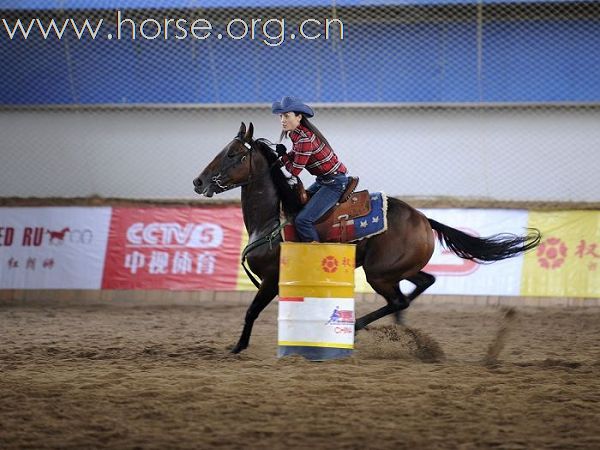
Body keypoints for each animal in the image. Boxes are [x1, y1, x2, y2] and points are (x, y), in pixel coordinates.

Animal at [193, 121, 540, 354]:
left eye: (233, 154)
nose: (199, 181)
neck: (272, 219)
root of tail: (423, 219)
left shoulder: (270, 280)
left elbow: (251, 310)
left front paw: (238, 346)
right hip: (397, 270)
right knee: (422, 284)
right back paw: (403, 332)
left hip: (379, 274)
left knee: (399, 299)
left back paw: (361, 328)